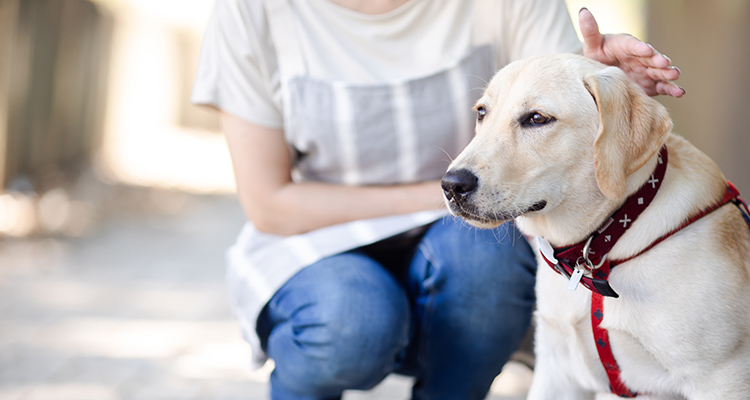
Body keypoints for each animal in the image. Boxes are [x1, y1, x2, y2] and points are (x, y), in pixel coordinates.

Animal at [444, 54, 750, 400]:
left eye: (537, 118)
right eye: (482, 112)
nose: (451, 185)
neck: (604, 246)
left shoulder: (722, 377)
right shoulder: (556, 368)